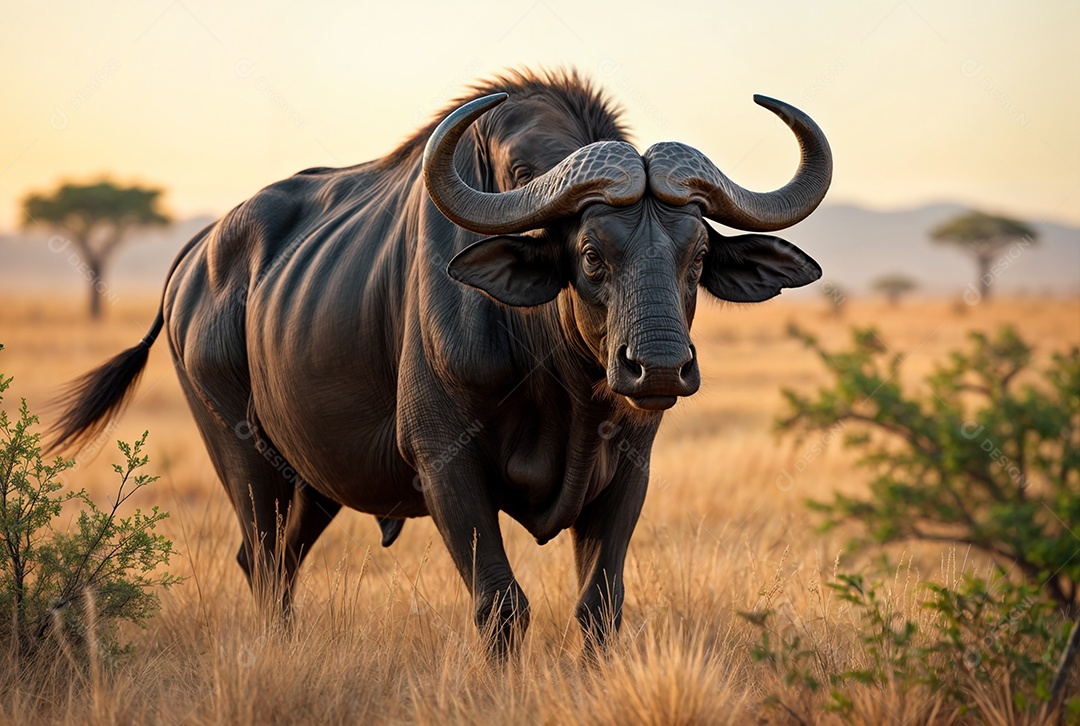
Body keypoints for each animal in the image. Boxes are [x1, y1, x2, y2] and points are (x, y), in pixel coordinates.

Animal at [53, 69, 831, 656]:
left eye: (695, 257)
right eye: (590, 255)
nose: (660, 370)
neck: (560, 382)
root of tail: (194, 261)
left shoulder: (628, 473)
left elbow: (598, 609)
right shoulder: (445, 464)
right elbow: (502, 603)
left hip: (315, 480)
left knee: (277, 561)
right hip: (244, 459)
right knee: (266, 560)